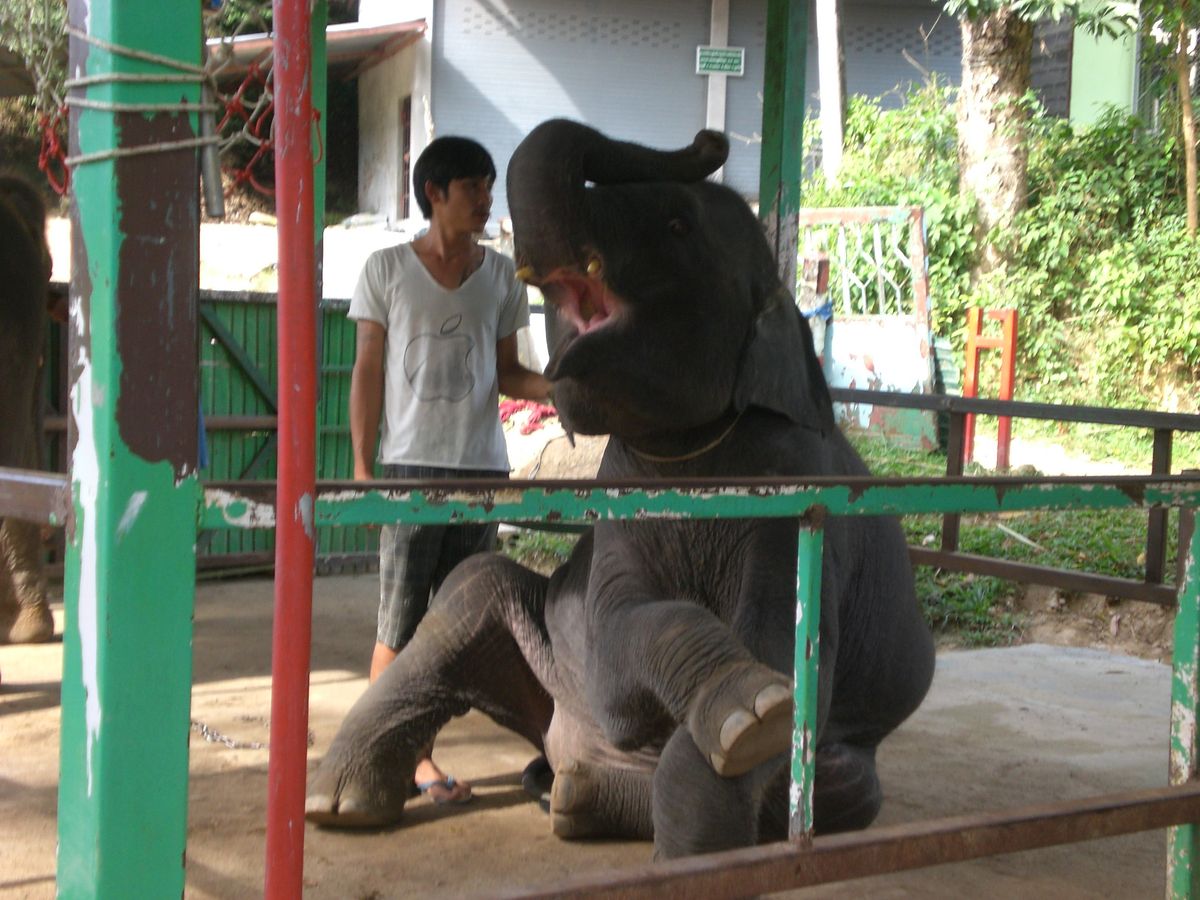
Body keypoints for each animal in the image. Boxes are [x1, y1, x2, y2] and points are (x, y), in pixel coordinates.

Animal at [306, 120, 936, 859]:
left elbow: (778, 656)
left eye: (677, 224)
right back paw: (344, 805)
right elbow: (616, 637)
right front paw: (749, 708)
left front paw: (748, 739)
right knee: (469, 595)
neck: (689, 453)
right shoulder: (620, 499)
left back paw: (577, 799)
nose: (711, 139)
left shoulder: (801, 507)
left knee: (846, 791)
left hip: (846, 774)